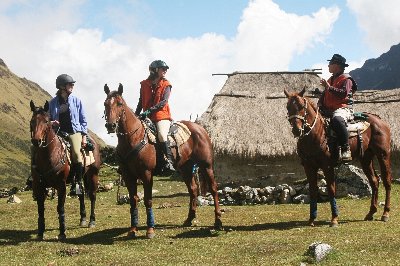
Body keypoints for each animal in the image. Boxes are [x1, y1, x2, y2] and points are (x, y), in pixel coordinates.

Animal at [29, 100, 101, 241]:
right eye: (32, 121)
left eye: (46, 121)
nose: (36, 141)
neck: (49, 155)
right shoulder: (38, 185)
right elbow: (40, 209)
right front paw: (40, 232)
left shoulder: (61, 185)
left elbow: (60, 208)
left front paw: (62, 232)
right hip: (80, 177)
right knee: (81, 194)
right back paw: (83, 218)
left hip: (93, 174)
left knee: (92, 196)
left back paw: (91, 220)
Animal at [102, 83, 222, 239]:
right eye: (105, 104)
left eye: (120, 104)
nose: (110, 126)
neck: (133, 138)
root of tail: (200, 128)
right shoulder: (128, 176)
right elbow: (133, 200)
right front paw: (133, 229)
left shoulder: (147, 174)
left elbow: (148, 200)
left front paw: (150, 229)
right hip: (185, 168)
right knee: (193, 190)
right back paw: (189, 219)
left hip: (206, 165)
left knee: (213, 189)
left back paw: (218, 221)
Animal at [282, 88, 392, 228]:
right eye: (288, 107)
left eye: (302, 106)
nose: (296, 130)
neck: (316, 134)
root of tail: (380, 121)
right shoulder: (308, 167)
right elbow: (313, 191)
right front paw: (312, 219)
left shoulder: (327, 166)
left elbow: (331, 189)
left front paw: (334, 219)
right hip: (366, 158)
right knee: (374, 182)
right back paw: (371, 212)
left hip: (383, 155)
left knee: (387, 181)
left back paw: (385, 213)